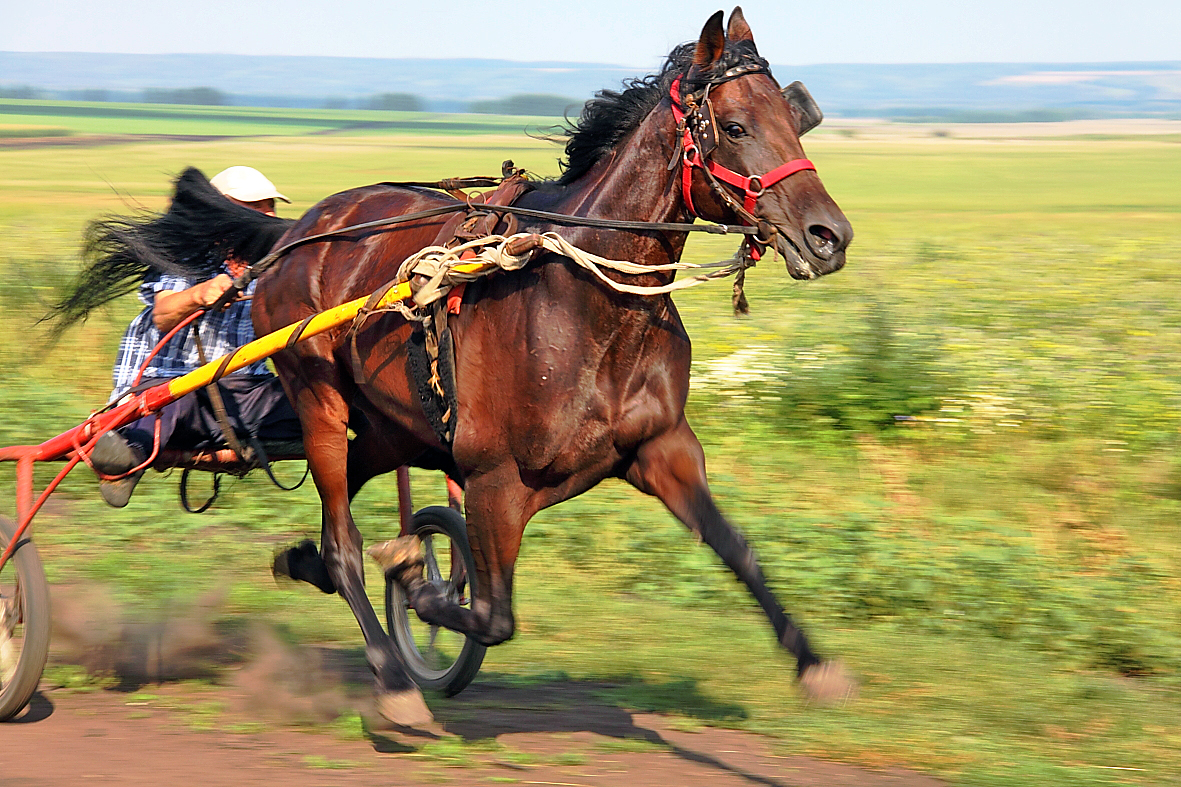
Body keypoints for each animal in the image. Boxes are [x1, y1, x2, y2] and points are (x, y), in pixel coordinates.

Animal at [256, 7, 850, 723]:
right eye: (735, 128)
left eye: (795, 117)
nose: (830, 236)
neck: (585, 301)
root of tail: (296, 234)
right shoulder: (493, 478)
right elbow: (491, 614)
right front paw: (419, 586)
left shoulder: (662, 448)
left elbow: (737, 547)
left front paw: (814, 663)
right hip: (318, 398)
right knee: (343, 544)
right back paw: (393, 677)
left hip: (390, 425)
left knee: (337, 515)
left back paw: (306, 562)